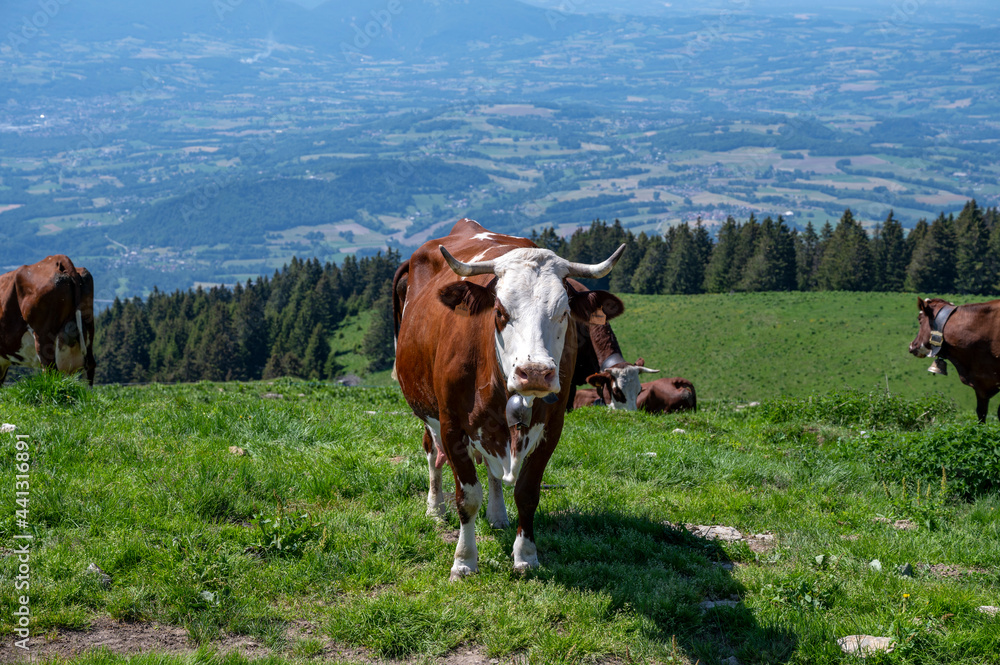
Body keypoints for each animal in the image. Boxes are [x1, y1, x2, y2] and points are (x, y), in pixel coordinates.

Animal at [392, 218, 620, 576]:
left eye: (564, 312)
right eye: (499, 311)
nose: (535, 372)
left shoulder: (552, 427)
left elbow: (527, 493)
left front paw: (525, 556)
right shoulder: (452, 425)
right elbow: (468, 497)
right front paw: (464, 561)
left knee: (492, 470)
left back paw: (497, 516)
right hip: (426, 409)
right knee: (432, 453)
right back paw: (434, 507)